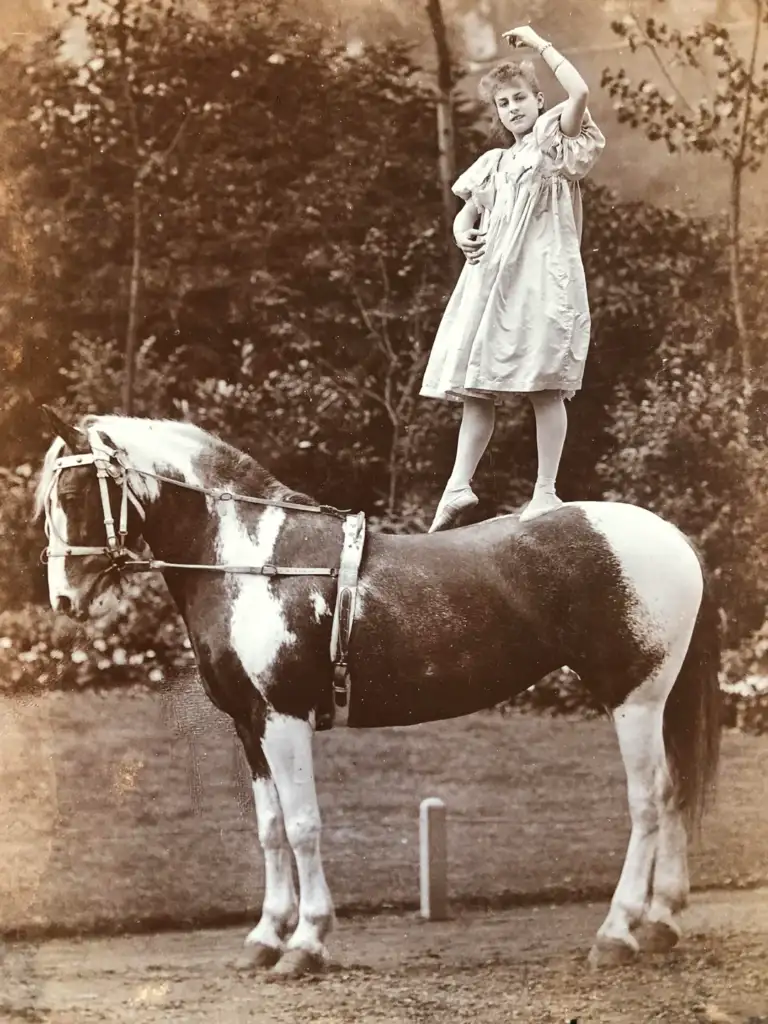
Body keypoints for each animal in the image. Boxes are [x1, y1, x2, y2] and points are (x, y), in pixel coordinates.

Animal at [34, 405, 720, 974]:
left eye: (72, 491)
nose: (65, 599)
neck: (254, 562)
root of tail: (676, 537)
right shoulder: (248, 724)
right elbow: (270, 828)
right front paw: (265, 937)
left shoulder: (284, 719)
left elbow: (304, 824)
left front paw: (307, 943)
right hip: (659, 702)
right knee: (676, 792)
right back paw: (661, 922)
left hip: (636, 700)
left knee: (648, 802)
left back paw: (617, 933)